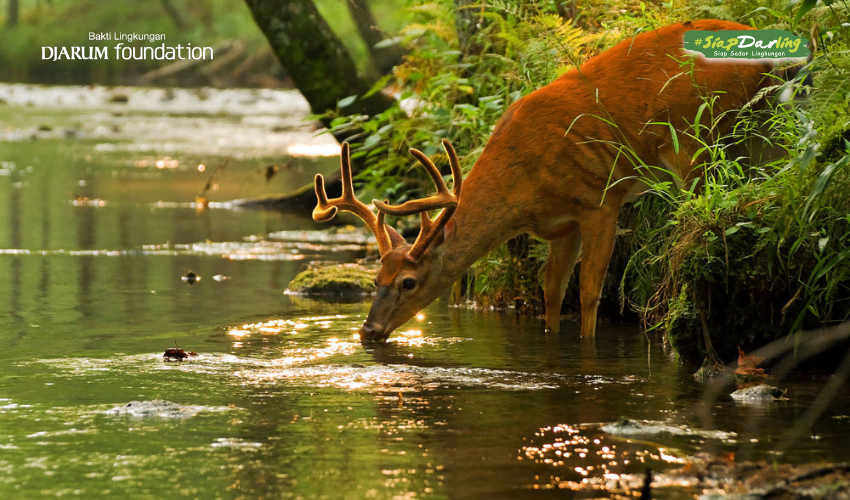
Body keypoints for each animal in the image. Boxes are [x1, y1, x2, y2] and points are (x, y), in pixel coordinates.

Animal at [310, 18, 808, 340]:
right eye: (376, 277)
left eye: (409, 282)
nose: (368, 331)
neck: (523, 190)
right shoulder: (560, 225)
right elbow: (551, 293)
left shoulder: (599, 200)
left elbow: (588, 293)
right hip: (755, 126)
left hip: (693, 137)